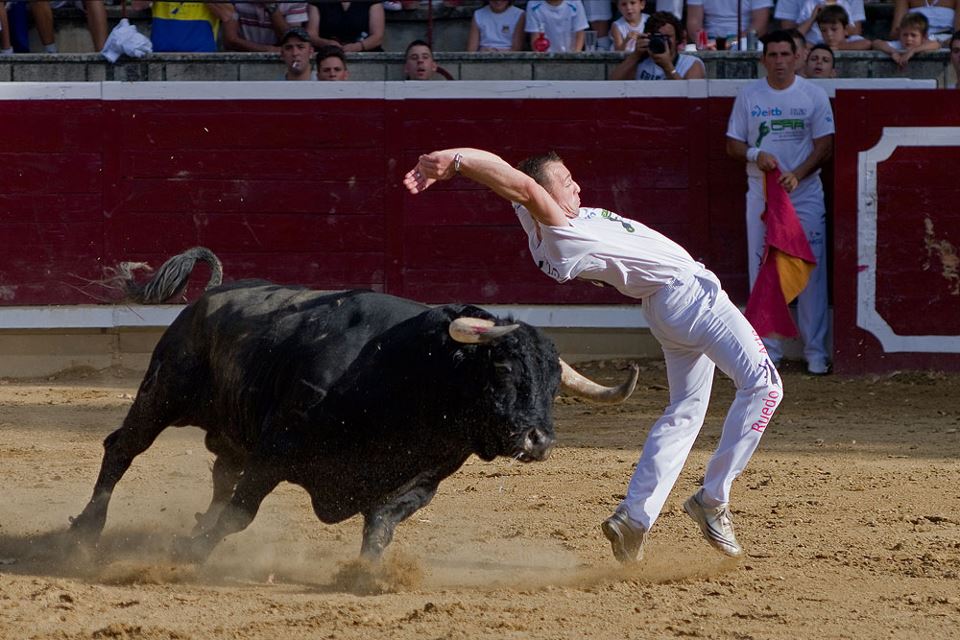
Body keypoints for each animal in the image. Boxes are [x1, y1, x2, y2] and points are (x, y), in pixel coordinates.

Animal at [69, 248, 636, 556]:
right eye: (501, 369)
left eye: (553, 384)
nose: (538, 440)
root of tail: (210, 296)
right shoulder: (275, 452)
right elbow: (241, 514)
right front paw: (191, 554)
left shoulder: (420, 479)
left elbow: (380, 526)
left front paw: (366, 576)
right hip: (163, 390)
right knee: (123, 447)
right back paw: (86, 529)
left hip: (231, 428)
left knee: (220, 474)